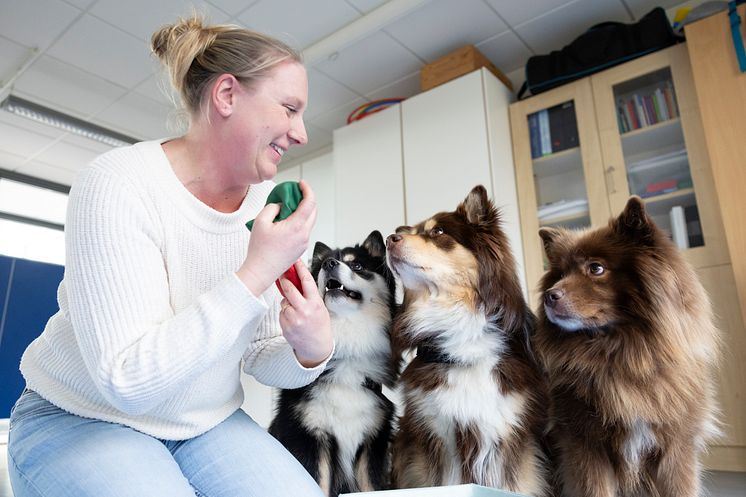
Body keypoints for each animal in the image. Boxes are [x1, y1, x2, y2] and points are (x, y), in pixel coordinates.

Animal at [266, 231, 396, 494]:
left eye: (357, 266)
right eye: (321, 267)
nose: (329, 264)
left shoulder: (372, 441)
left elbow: (370, 486)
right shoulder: (309, 435)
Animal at [532, 196, 716, 494]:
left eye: (596, 268)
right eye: (559, 274)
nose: (550, 295)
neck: (621, 358)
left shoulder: (677, 447)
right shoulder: (584, 445)